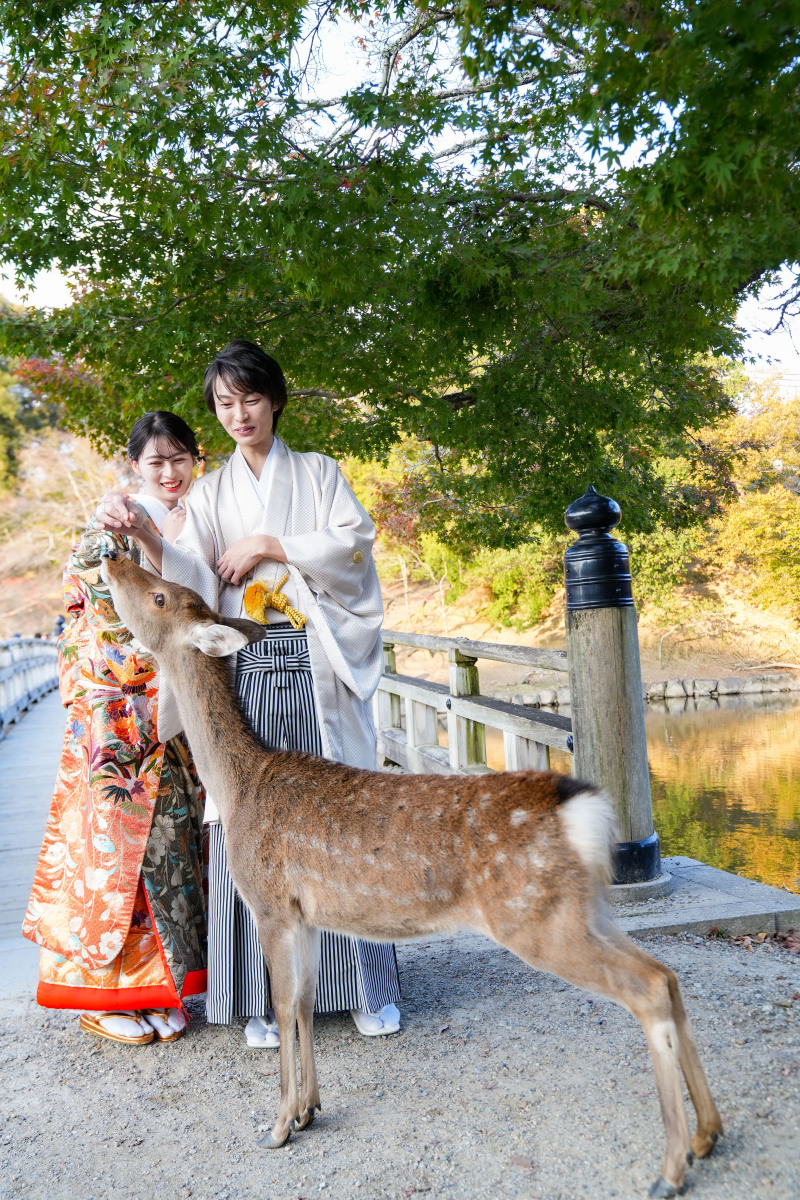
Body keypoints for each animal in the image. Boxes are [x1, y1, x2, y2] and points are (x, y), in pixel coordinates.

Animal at [100, 549, 723, 1199]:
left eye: (162, 595)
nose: (112, 556)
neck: (241, 787)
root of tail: (583, 809)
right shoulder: (308, 914)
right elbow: (303, 1003)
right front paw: (310, 1110)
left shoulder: (270, 903)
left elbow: (282, 1003)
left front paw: (278, 1125)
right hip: (581, 908)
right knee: (667, 975)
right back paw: (707, 1135)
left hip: (535, 917)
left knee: (646, 988)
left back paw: (671, 1168)